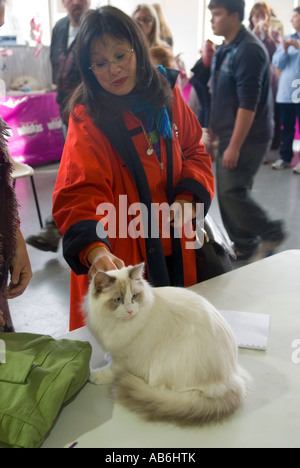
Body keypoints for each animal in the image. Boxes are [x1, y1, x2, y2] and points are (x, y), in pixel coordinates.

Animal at [85, 264, 250, 424]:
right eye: (118, 300)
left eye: (134, 296)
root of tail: (233, 378)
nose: (131, 311)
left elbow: (112, 370)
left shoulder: (126, 357)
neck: (117, 325)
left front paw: (95, 375)